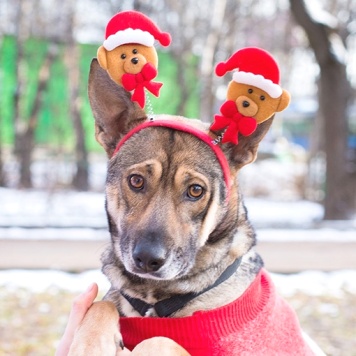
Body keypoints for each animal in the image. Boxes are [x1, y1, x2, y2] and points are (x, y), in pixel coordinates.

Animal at [68, 59, 318, 356]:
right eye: (136, 181)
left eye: (195, 190)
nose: (147, 260)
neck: (154, 300)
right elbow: (101, 304)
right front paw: (89, 342)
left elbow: (160, 340)